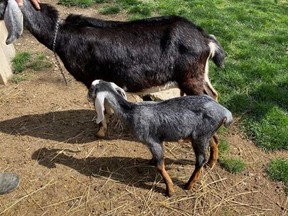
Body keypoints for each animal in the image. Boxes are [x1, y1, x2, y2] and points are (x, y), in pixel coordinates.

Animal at [87, 80, 232, 197]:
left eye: (92, 89)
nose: (87, 97)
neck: (131, 111)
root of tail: (225, 112)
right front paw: (150, 161)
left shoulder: (153, 141)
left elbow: (159, 165)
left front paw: (170, 190)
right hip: (206, 133)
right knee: (214, 142)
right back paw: (211, 164)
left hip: (200, 137)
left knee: (200, 160)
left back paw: (189, 185)